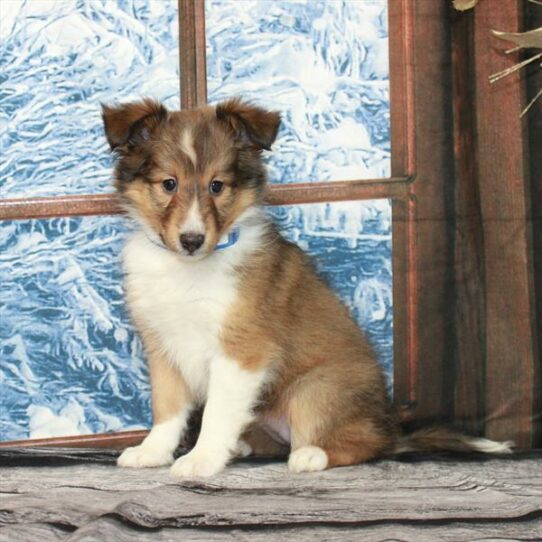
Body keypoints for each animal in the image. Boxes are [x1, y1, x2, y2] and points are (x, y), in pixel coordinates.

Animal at [102, 98, 516, 480]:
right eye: (168, 184)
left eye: (217, 186)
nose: (191, 240)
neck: (188, 268)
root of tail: (390, 428)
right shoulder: (162, 346)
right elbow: (167, 408)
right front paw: (152, 451)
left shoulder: (243, 349)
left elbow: (217, 411)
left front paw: (201, 459)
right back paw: (243, 445)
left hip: (315, 389)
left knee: (364, 443)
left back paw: (312, 454)